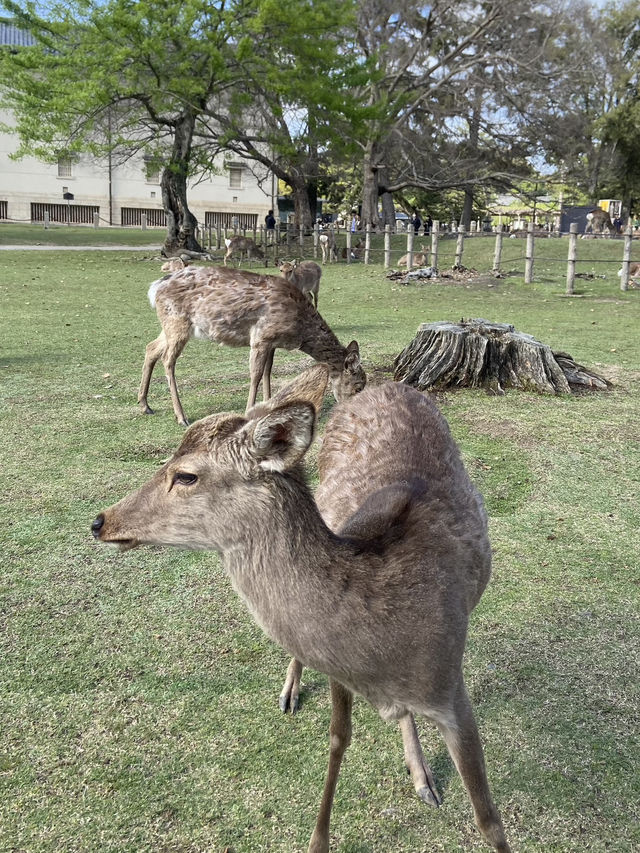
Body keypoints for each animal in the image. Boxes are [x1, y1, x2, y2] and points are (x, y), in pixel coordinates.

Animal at [139, 266, 364, 426]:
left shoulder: (272, 342)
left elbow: (267, 371)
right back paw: (181, 416)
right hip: (177, 322)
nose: (353, 411)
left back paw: (144, 405)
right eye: (358, 386)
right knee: (168, 360)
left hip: (169, 325)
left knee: (151, 348)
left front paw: (270, 404)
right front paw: (249, 413)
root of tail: (155, 287)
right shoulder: (261, 336)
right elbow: (255, 375)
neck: (300, 329)